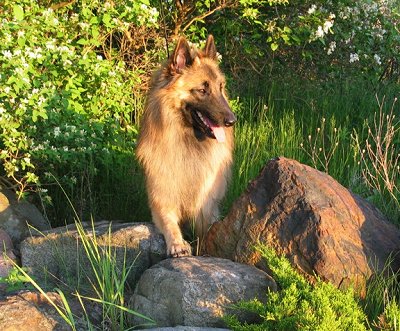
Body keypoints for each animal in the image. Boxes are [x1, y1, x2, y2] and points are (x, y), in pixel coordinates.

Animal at [138, 36, 238, 258]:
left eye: (221, 87)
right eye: (202, 90)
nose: (231, 121)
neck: (189, 145)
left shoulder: (207, 206)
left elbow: (209, 228)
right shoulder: (161, 200)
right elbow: (170, 224)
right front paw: (178, 244)